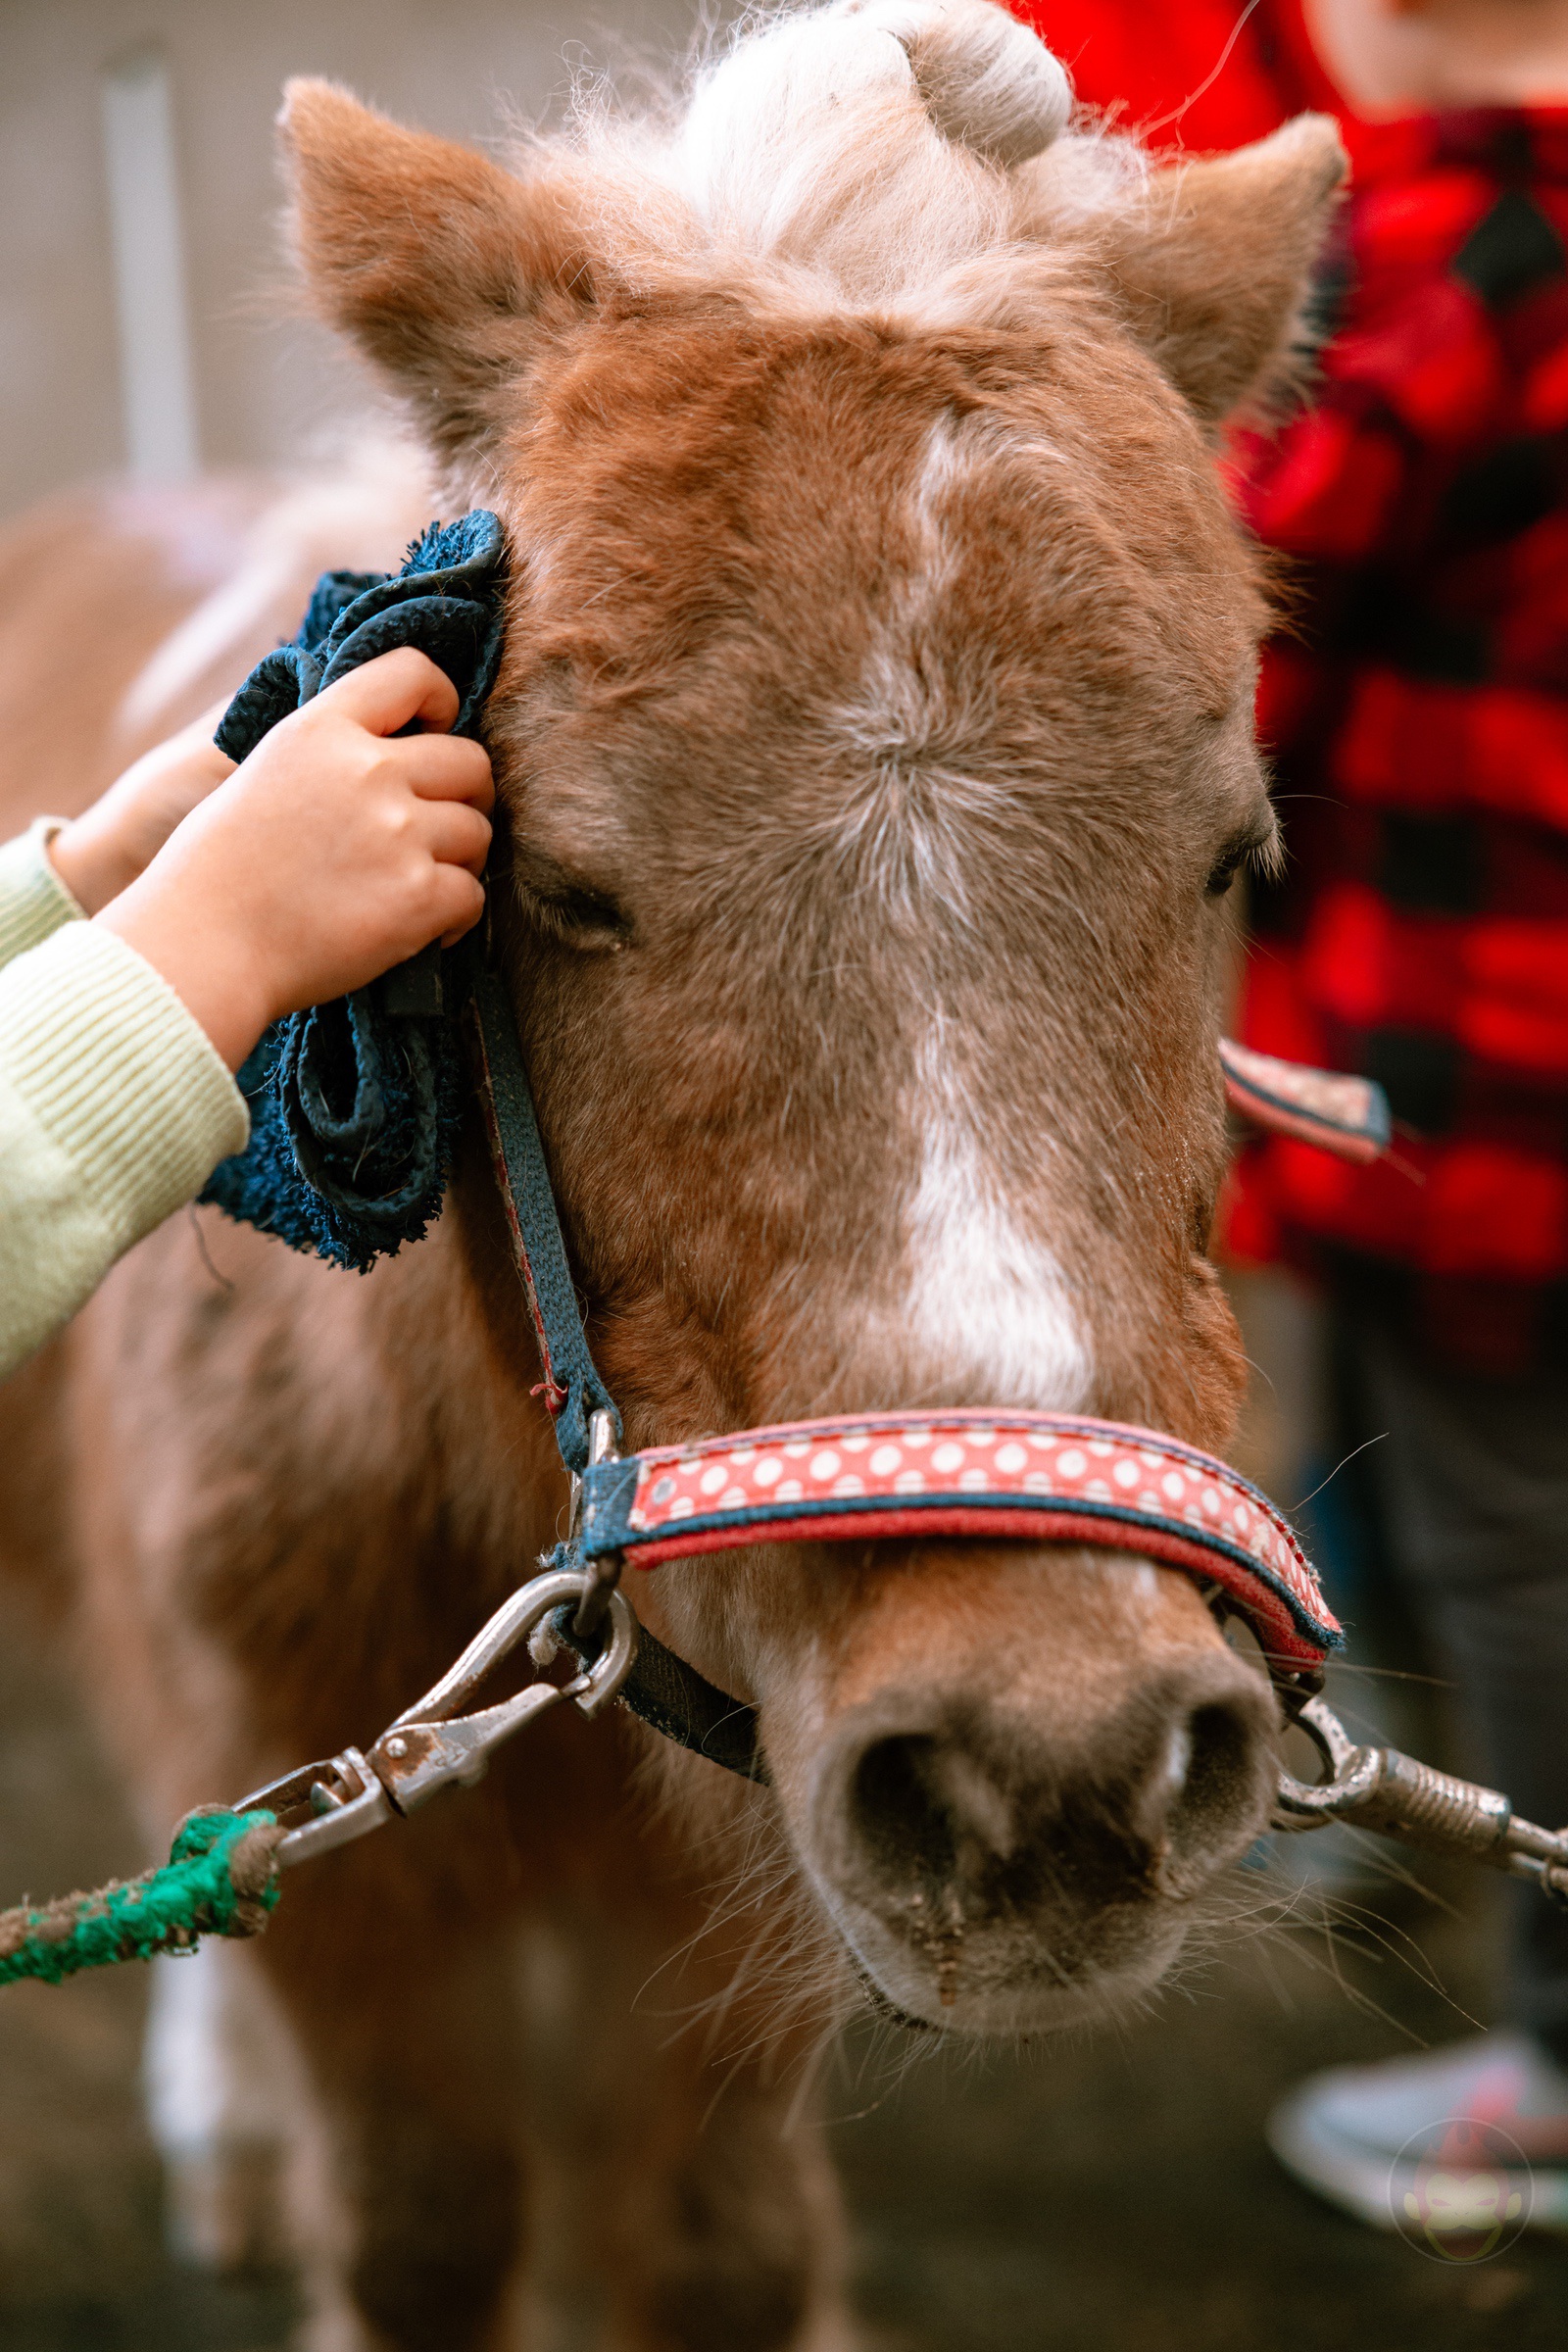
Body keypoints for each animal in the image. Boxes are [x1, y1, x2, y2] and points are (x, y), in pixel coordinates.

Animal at [0, 4, 1346, 2343]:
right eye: (558, 886)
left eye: (1233, 856)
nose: (1047, 1755)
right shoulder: (360, 1876)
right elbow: (413, 2216)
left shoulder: (747, 1855)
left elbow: (718, 2252)